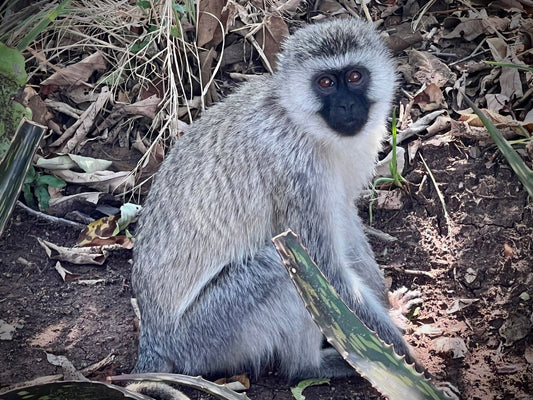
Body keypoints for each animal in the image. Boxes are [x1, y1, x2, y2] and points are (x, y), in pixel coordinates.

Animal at [132, 17, 412, 380]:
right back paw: (311, 365)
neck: (302, 123)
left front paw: (388, 303)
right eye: (325, 83)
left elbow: (345, 223)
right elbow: (326, 270)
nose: (347, 106)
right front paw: (402, 359)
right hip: (206, 335)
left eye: (354, 76)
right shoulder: (297, 172)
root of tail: (154, 339)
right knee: (284, 269)